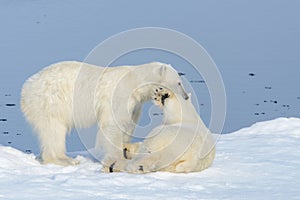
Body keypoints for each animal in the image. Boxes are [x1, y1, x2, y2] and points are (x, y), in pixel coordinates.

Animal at [21, 61, 188, 167]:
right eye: (179, 82)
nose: (186, 97)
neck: (134, 82)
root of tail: (26, 87)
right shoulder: (119, 97)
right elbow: (112, 125)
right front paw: (118, 157)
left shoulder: (135, 104)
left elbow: (128, 124)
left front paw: (126, 150)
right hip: (51, 102)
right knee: (54, 130)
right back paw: (65, 159)